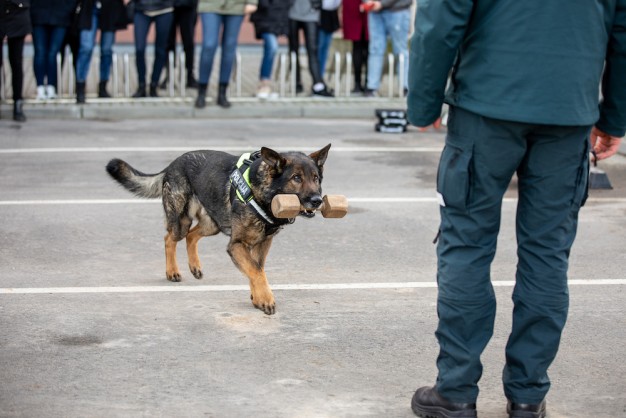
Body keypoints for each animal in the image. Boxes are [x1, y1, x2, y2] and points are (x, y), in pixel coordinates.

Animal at [106, 144, 331, 315]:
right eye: (296, 178)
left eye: (315, 178)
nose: (317, 201)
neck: (262, 193)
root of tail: (173, 163)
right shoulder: (236, 245)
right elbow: (256, 271)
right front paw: (266, 299)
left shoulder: (262, 243)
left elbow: (257, 268)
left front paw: (257, 297)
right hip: (182, 221)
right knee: (170, 238)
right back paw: (172, 272)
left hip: (212, 224)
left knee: (191, 236)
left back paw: (194, 267)